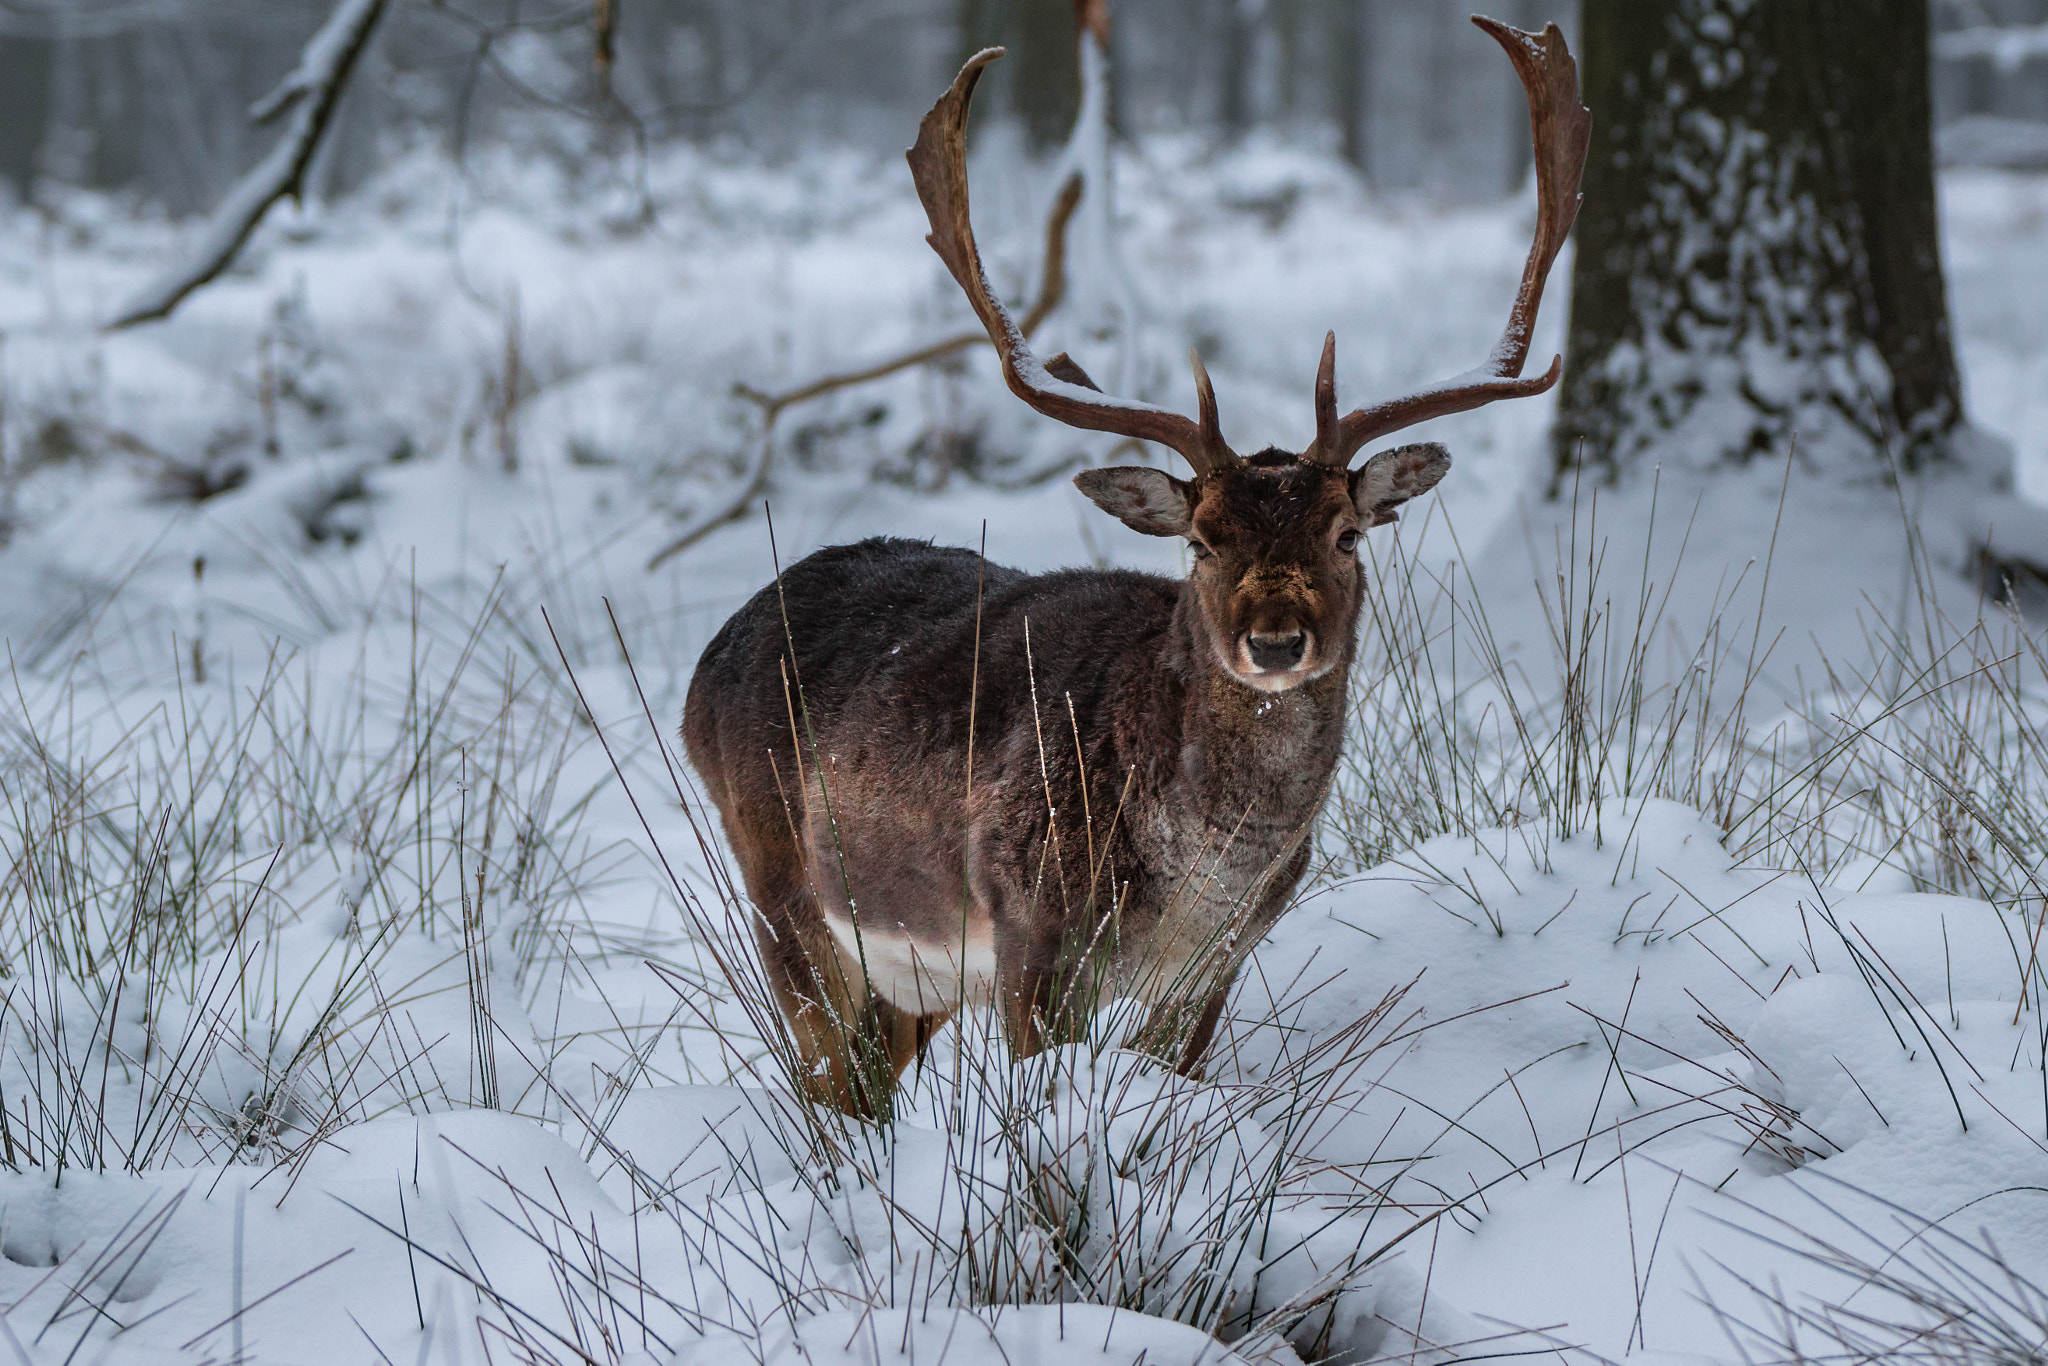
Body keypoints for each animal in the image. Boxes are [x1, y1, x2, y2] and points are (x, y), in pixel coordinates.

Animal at [679, 15, 1589, 1114]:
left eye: (1347, 533)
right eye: (1201, 538)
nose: (1273, 640)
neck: (1200, 874)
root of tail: (704, 664)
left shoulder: (1220, 958)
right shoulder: (1032, 928)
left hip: (907, 976)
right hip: (783, 893)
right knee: (825, 1097)